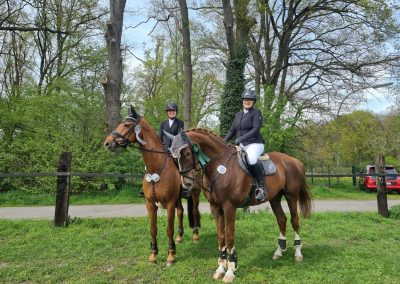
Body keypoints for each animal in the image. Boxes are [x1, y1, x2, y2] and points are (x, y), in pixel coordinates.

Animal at [103, 106, 202, 266]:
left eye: (126, 125)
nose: (107, 143)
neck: (155, 167)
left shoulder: (169, 203)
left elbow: (168, 229)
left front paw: (170, 255)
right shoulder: (150, 203)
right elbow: (153, 229)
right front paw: (153, 254)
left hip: (195, 193)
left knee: (194, 211)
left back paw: (195, 235)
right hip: (178, 198)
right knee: (181, 212)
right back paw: (179, 237)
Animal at [169, 129, 312, 282]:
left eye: (187, 153)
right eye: (174, 157)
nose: (186, 183)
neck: (220, 166)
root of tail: (293, 160)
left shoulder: (229, 207)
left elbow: (230, 237)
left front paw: (230, 271)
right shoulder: (215, 207)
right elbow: (221, 237)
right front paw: (220, 269)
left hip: (291, 196)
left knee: (294, 220)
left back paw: (298, 253)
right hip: (274, 198)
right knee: (282, 219)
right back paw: (279, 251)